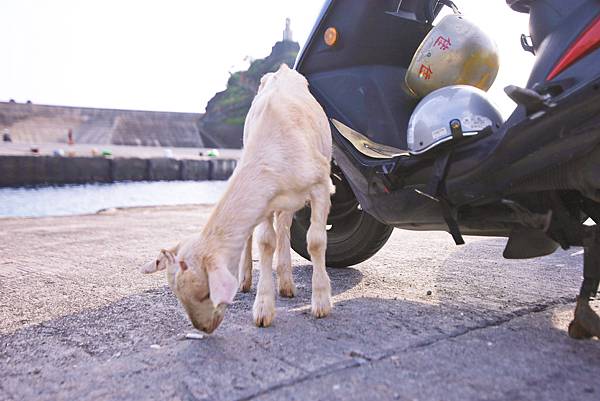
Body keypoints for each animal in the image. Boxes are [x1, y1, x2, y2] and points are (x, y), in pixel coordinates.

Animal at [144, 63, 336, 332]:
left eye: (206, 294)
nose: (203, 328)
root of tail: (283, 69)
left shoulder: (320, 185)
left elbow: (316, 241)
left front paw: (321, 301)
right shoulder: (267, 199)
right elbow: (265, 242)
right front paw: (263, 307)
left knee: (285, 226)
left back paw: (286, 283)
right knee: (262, 233)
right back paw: (250, 280)